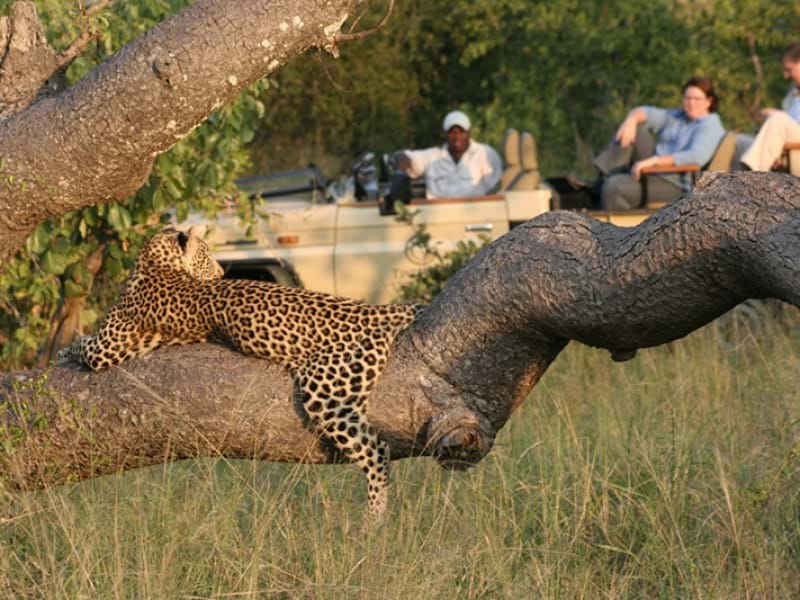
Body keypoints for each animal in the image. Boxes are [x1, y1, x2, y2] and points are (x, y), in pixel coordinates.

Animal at [60, 226, 424, 525]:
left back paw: (373, 520)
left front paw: (63, 351)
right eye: (207, 254)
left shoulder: (108, 347)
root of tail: (377, 309)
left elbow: (80, 344)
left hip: (326, 391)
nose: (222, 272)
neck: (156, 262)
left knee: (378, 451)